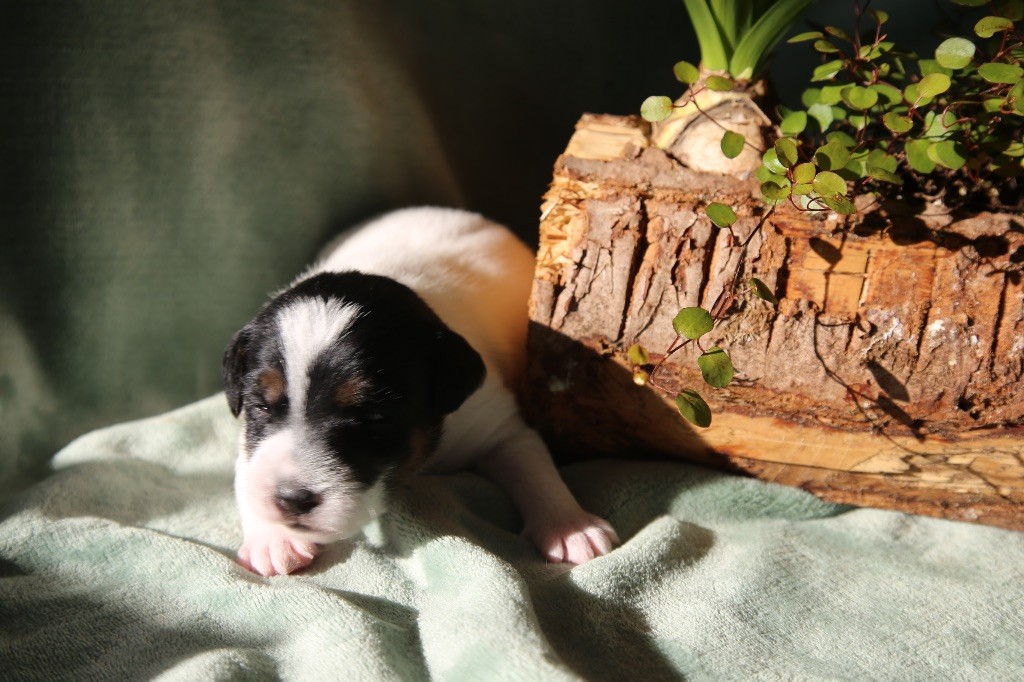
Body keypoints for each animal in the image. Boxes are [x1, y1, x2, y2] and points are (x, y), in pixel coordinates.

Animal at [223, 206, 614, 573]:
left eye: (373, 418)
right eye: (261, 407)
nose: (291, 500)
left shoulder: (498, 427)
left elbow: (535, 469)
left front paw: (569, 527)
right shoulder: (249, 443)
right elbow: (248, 474)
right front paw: (272, 539)